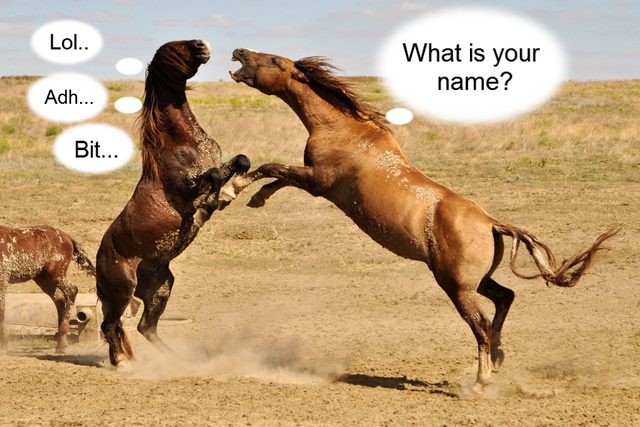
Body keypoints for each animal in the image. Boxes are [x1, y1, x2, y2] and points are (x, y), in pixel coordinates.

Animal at [96, 40, 250, 367]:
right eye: (173, 50)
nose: (202, 44)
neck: (180, 140)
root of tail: (100, 259)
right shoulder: (185, 187)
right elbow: (213, 179)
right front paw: (213, 204)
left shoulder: (219, 162)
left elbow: (239, 162)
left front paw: (231, 191)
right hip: (123, 289)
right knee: (110, 324)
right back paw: (122, 363)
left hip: (161, 286)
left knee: (144, 326)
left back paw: (175, 359)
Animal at [223, 48, 620, 392]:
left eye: (274, 61)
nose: (239, 52)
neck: (345, 130)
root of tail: (491, 222)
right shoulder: (312, 180)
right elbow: (277, 177)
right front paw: (254, 198)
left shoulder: (319, 181)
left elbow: (272, 168)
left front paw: (233, 189)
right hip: (475, 280)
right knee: (505, 297)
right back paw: (498, 356)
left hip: (457, 286)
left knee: (481, 324)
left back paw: (481, 381)